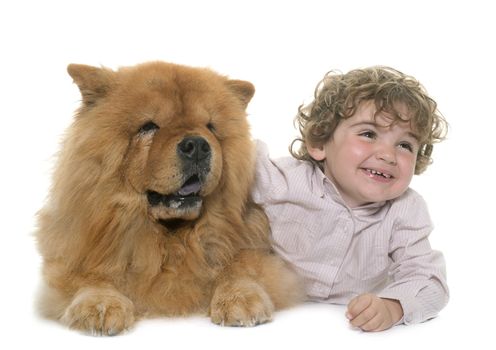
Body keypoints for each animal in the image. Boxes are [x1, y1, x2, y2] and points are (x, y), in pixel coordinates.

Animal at [35, 61, 302, 334]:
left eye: (210, 127)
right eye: (148, 127)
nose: (197, 145)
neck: (170, 236)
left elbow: (241, 265)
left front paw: (240, 298)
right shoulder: (71, 253)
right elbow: (89, 275)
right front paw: (101, 304)